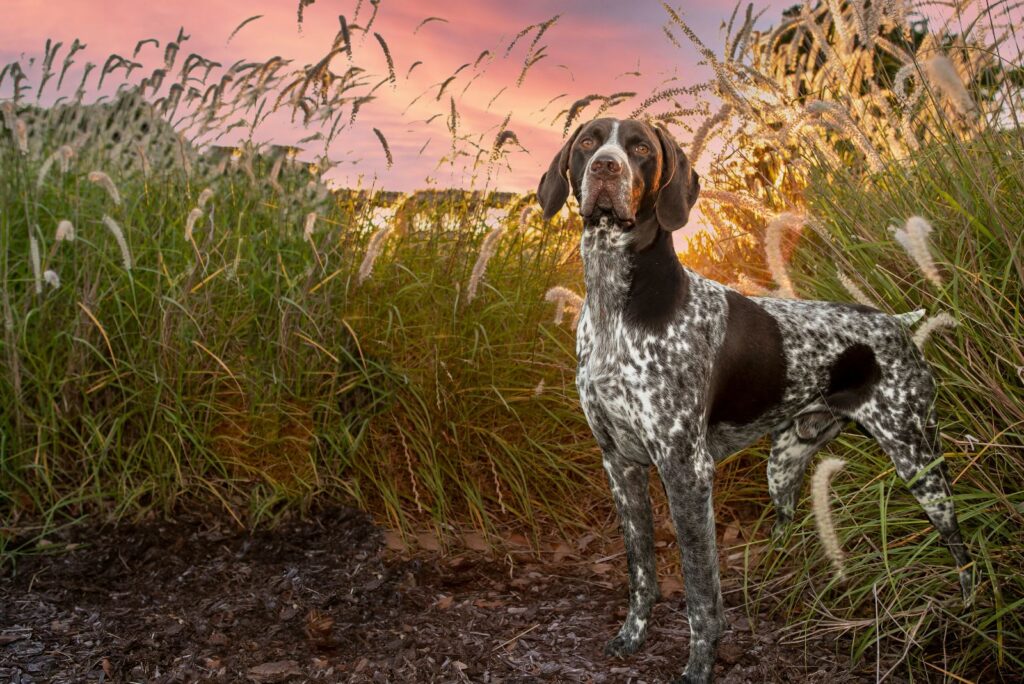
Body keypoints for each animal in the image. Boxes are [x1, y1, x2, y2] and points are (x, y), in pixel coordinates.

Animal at [540, 116, 970, 679]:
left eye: (640, 149)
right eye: (588, 141)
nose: (605, 168)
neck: (617, 303)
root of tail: (895, 322)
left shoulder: (686, 469)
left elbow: (702, 594)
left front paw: (699, 667)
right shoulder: (620, 464)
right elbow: (642, 573)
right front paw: (632, 636)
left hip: (918, 457)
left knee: (960, 546)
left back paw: (970, 611)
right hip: (783, 465)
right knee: (790, 525)